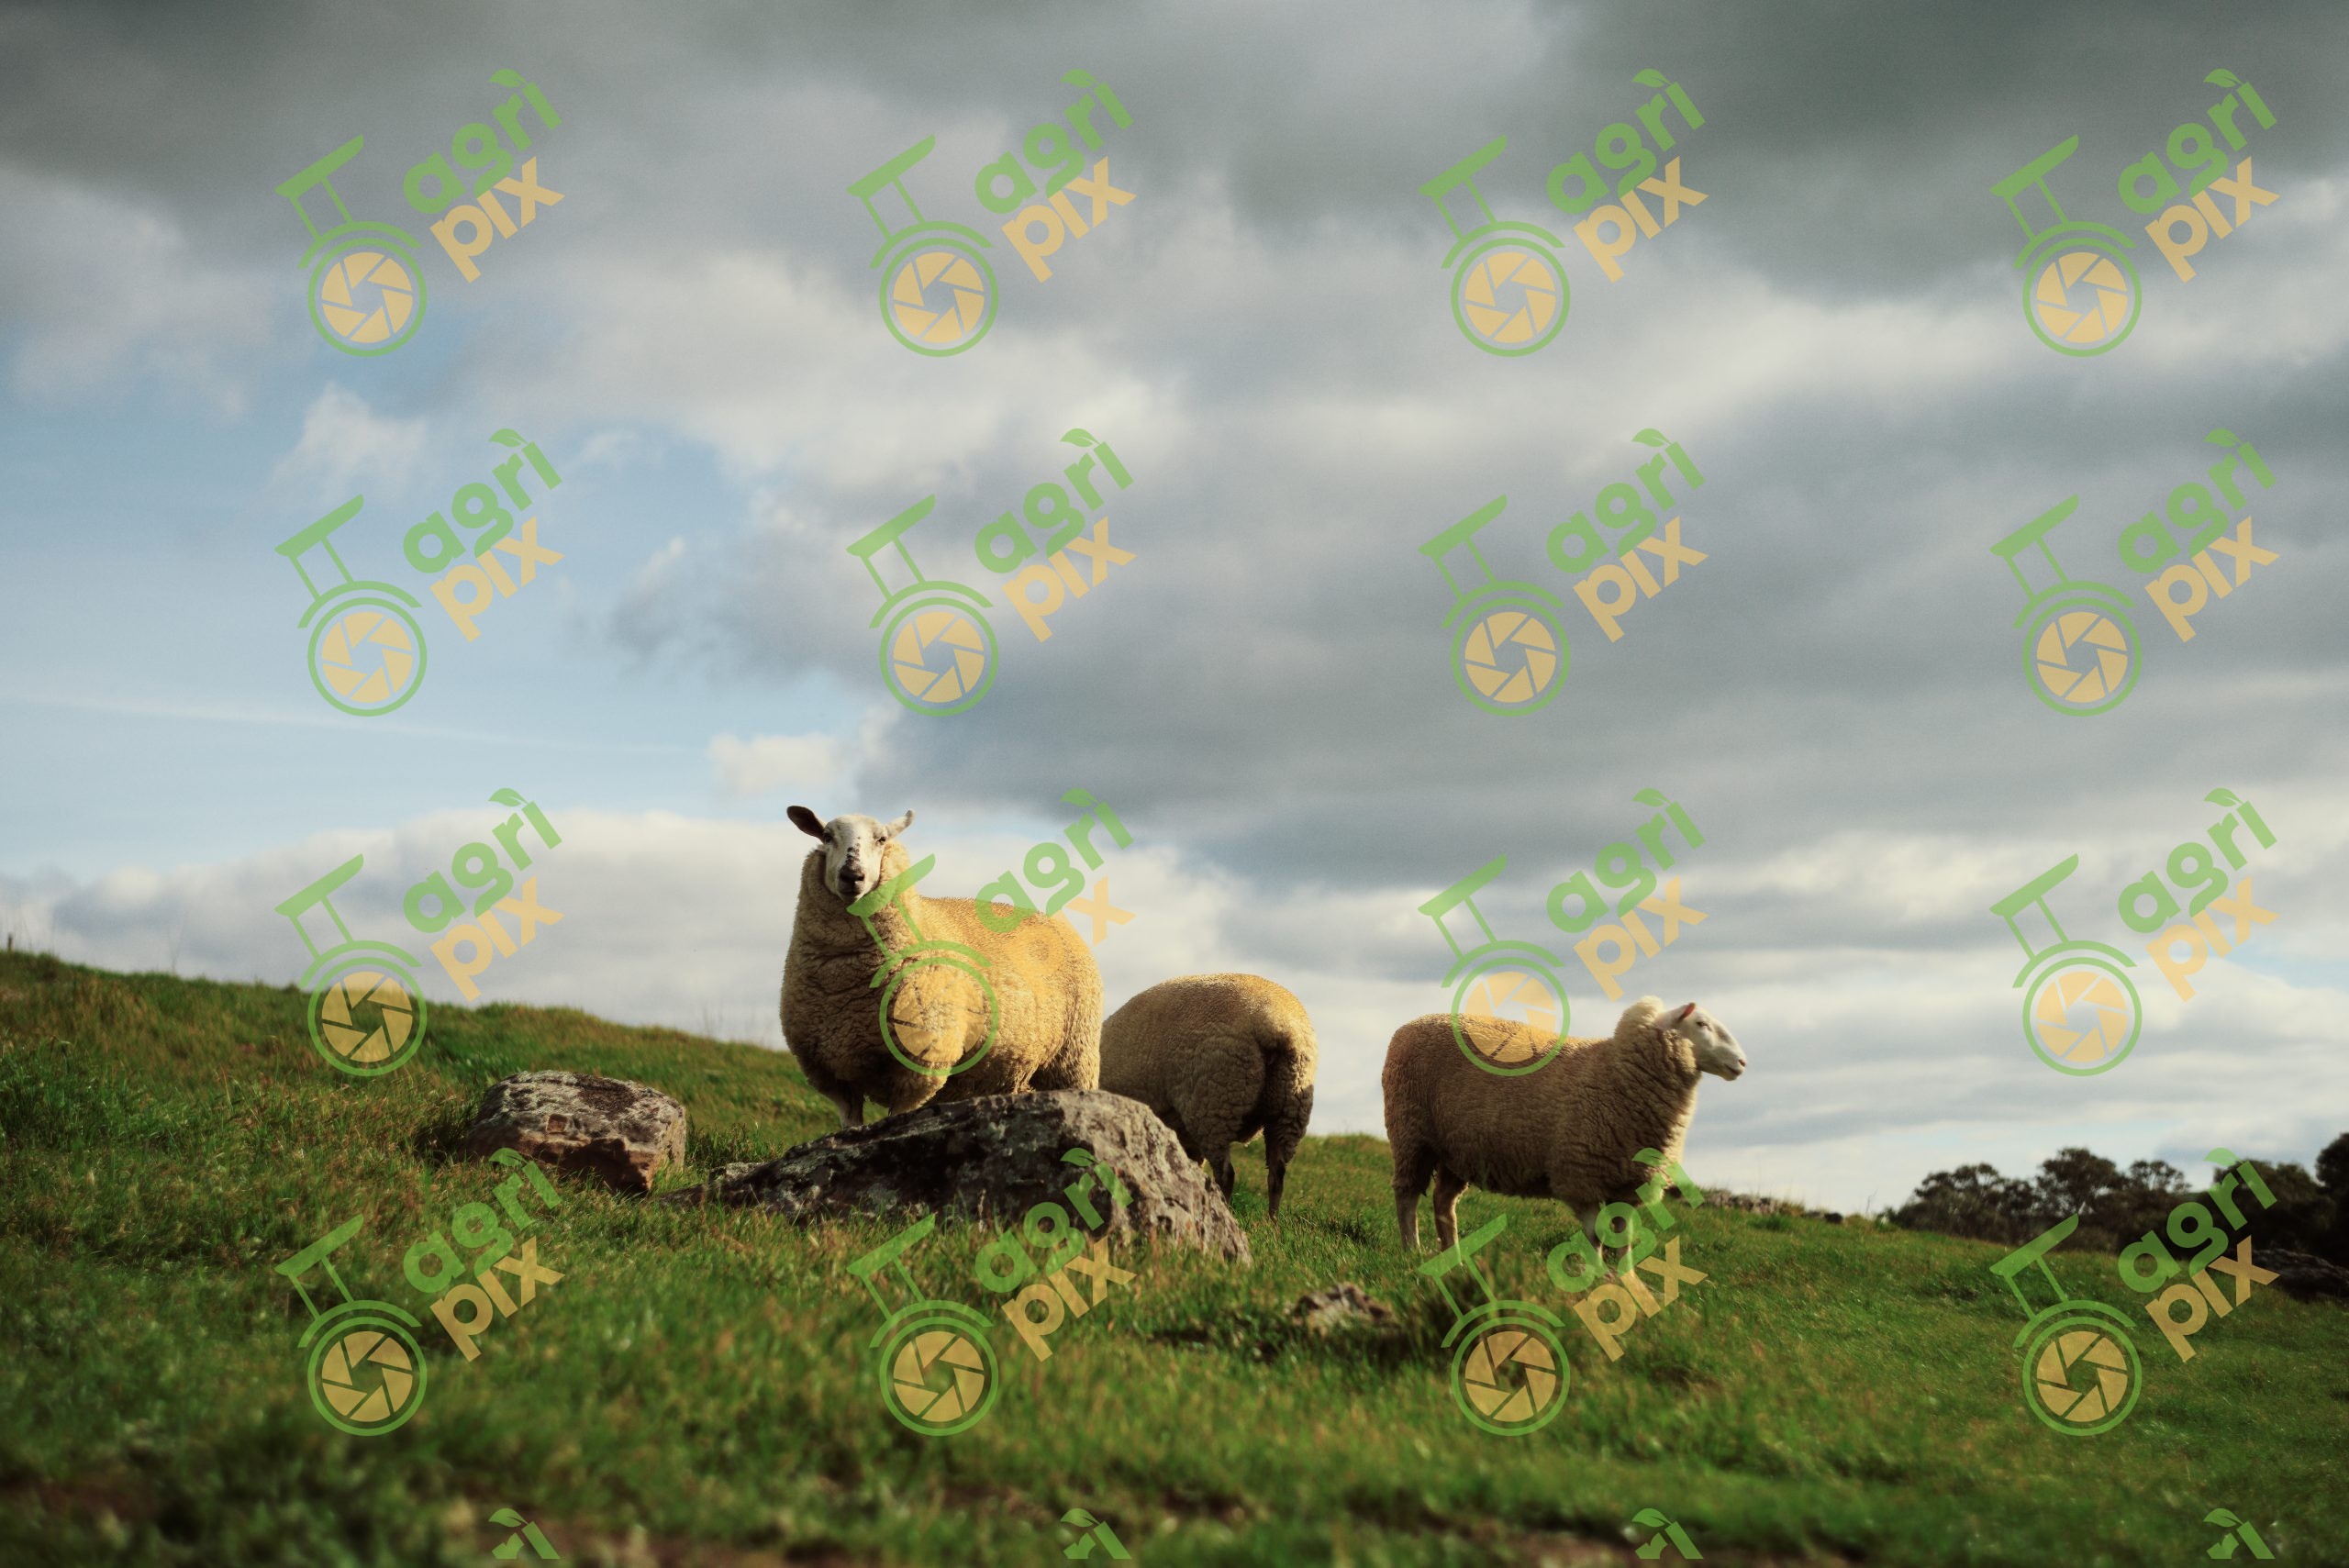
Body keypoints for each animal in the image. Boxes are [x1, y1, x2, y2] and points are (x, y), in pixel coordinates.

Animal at [781, 806, 1102, 1127]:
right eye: (826, 836)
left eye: (882, 839)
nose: (852, 876)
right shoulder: (834, 1075)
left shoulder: (919, 1066)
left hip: (1073, 1061)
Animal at [1098, 973, 1319, 1219]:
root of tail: (1277, 1025)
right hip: (1288, 1109)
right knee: (1277, 1174)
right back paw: (1272, 1222)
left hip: (1214, 1106)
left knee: (1227, 1175)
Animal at [1382, 996, 1745, 1254]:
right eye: (1701, 1023)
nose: (1742, 1061)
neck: (1617, 1073)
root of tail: (1408, 1026)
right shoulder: (1581, 1175)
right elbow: (1595, 1236)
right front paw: (1597, 1278)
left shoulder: (1628, 1185)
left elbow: (1624, 1238)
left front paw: (1626, 1281)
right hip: (1411, 1132)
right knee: (1407, 1194)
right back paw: (1412, 1250)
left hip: (1457, 1150)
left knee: (1443, 1202)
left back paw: (1453, 1255)